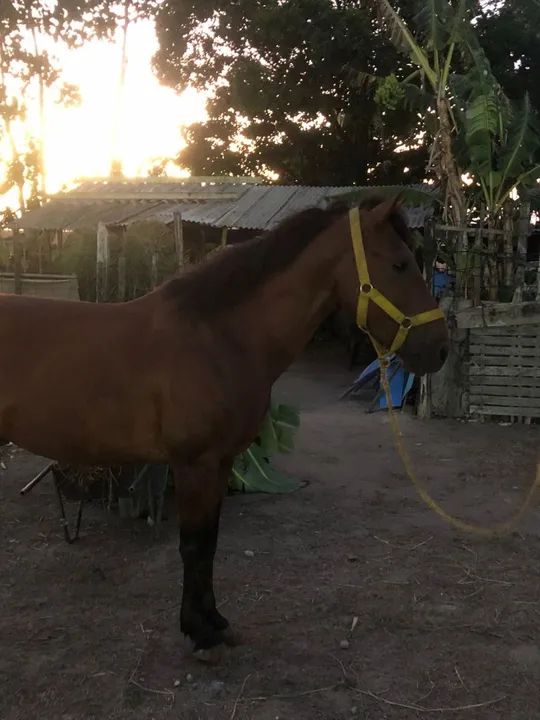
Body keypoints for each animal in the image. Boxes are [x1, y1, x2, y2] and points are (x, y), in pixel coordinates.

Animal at [0, 196, 449, 662]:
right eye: (399, 265)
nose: (440, 348)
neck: (219, 338)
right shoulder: (193, 465)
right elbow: (193, 545)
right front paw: (199, 632)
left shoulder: (219, 463)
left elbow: (210, 543)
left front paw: (213, 621)